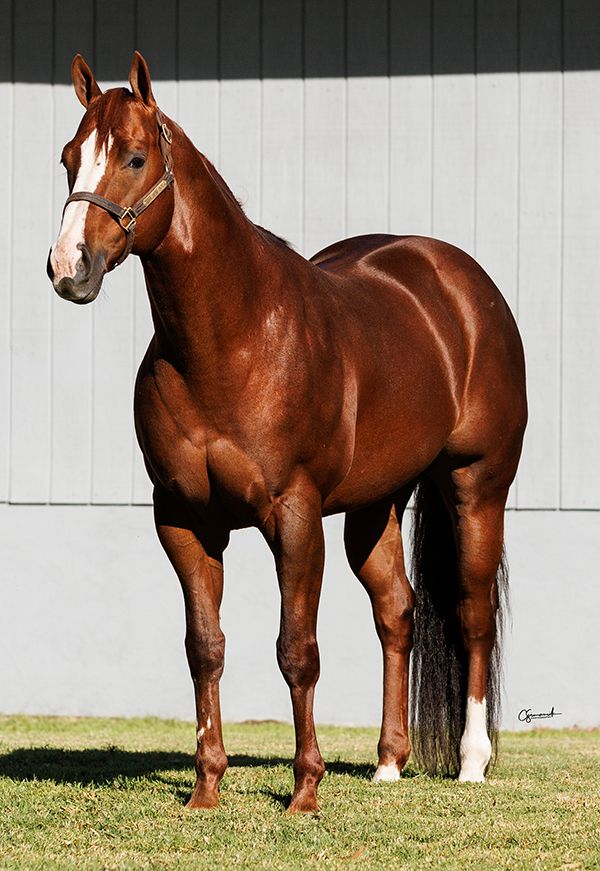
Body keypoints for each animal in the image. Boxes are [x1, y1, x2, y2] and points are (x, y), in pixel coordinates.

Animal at [47, 52, 527, 813]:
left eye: (133, 156)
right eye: (69, 159)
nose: (70, 268)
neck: (233, 340)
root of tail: (462, 285)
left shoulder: (294, 515)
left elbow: (296, 649)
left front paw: (305, 790)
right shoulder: (182, 519)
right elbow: (205, 647)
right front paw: (205, 788)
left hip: (477, 485)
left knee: (471, 611)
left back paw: (472, 762)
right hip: (374, 504)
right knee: (397, 612)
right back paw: (388, 762)